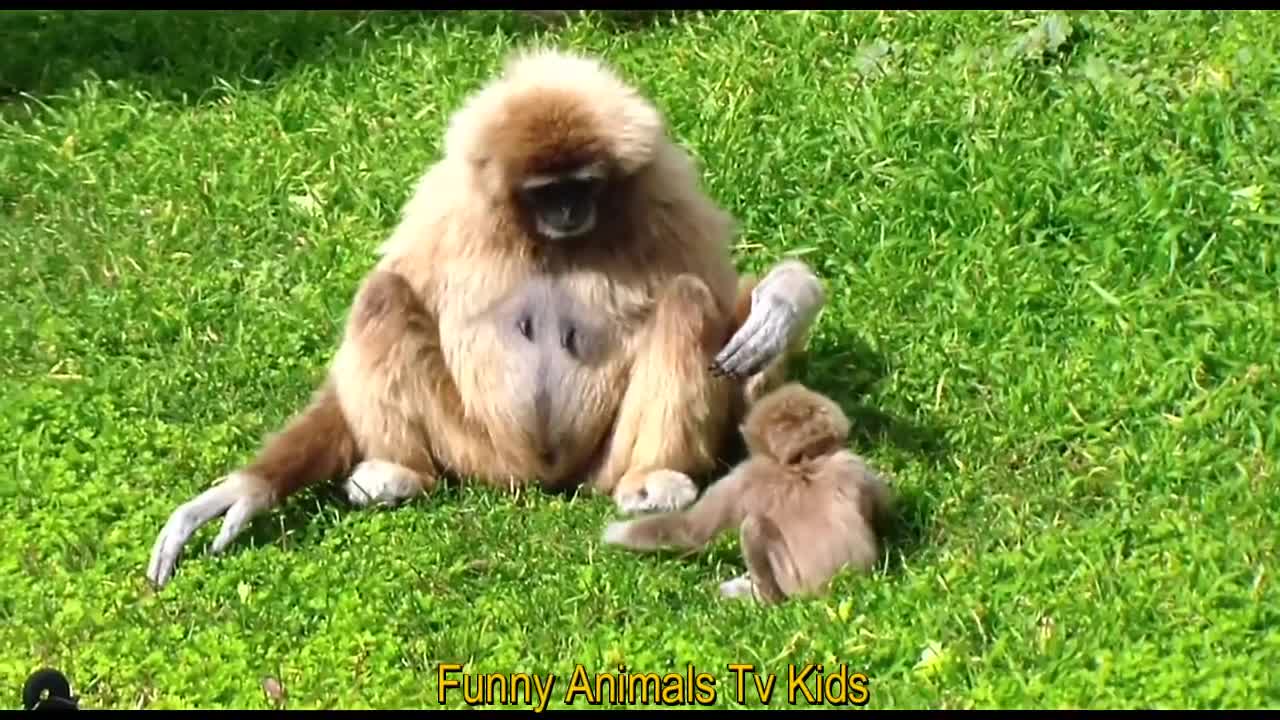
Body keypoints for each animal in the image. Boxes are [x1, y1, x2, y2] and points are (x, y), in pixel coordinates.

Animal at [146, 48, 827, 589]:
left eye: (582, 184)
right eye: (547, 191)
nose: (568, 210)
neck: (550, 239)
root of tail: (543, 477)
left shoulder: (666, 194)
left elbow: (723, 310)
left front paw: (786, 300)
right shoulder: (446, 204)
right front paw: (242, 493)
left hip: (601, 463)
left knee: (685, 298)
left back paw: (655, 476)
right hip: (475, 451)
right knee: (384, 292)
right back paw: (400, 473)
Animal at [600, 382, 892, 605]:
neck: (799, 463)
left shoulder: (746, 476)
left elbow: (691, 529)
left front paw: (613, 534)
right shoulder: (850, 464)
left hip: (791, 582)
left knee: (753, 527)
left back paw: (761, 597)